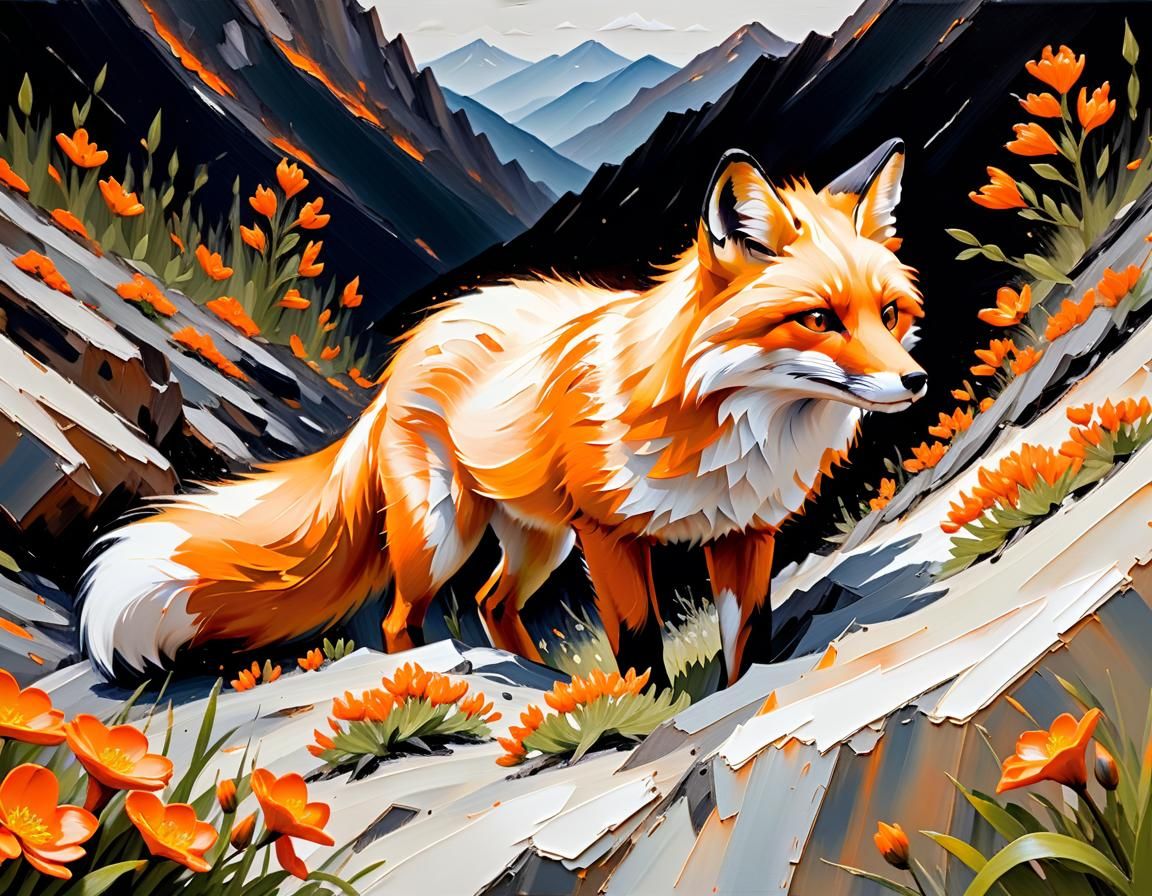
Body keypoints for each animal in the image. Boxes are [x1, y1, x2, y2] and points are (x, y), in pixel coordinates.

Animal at [78, 138, 926, 683]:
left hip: (538, 541)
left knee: (490, 605)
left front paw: (734, 693)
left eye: (889, 313)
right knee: (401, 621)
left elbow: (746, 641)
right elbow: (639, 642)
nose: (916, 381)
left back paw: (542, 677)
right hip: (445, 532)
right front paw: (642, 714)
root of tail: (412, 347)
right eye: (819, 319)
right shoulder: (611, 535)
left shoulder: (746, 534)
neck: (735, 432)